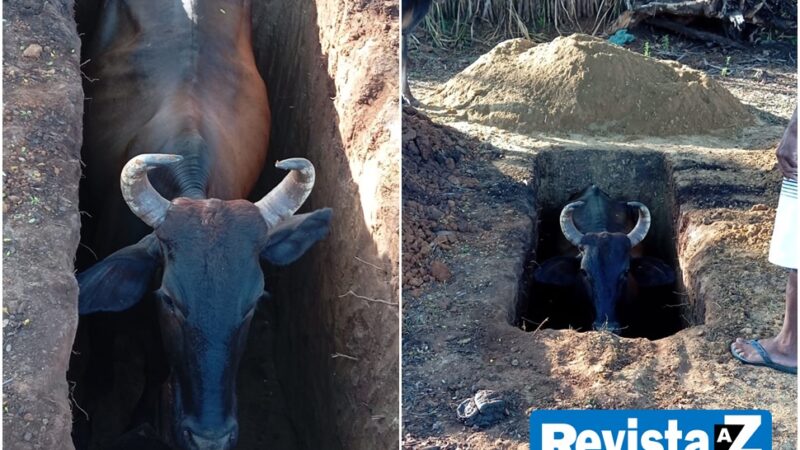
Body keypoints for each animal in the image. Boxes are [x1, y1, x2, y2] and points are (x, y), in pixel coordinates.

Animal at [71, 1, 328, 448]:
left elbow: (157, 371)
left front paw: (144, 419)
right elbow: (99, 372)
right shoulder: (104, 318)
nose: (211, 437)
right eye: (171, 299)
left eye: (253, 302)